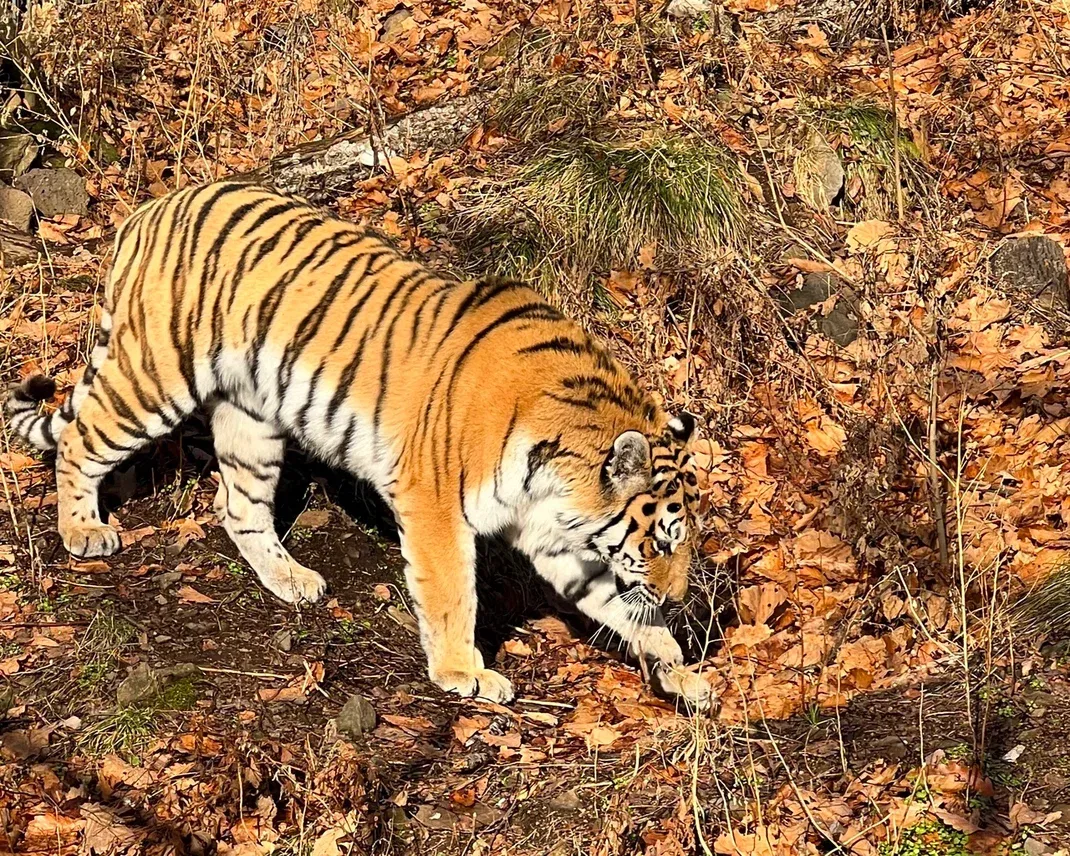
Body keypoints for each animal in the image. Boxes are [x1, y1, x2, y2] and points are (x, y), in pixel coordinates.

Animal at [8, 178, 714, 710]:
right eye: (660, 543)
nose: (680, 598)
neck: (559, 480)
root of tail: (150, 210)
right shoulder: (436, 506)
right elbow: (453, 593)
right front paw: (464, 673)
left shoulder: (552, 534)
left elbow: (614, 600)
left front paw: (677, 666)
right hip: (154, 376)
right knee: (78, 441)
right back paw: (83, 529)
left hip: (251, 416)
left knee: (237, 508)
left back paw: (292, 580)